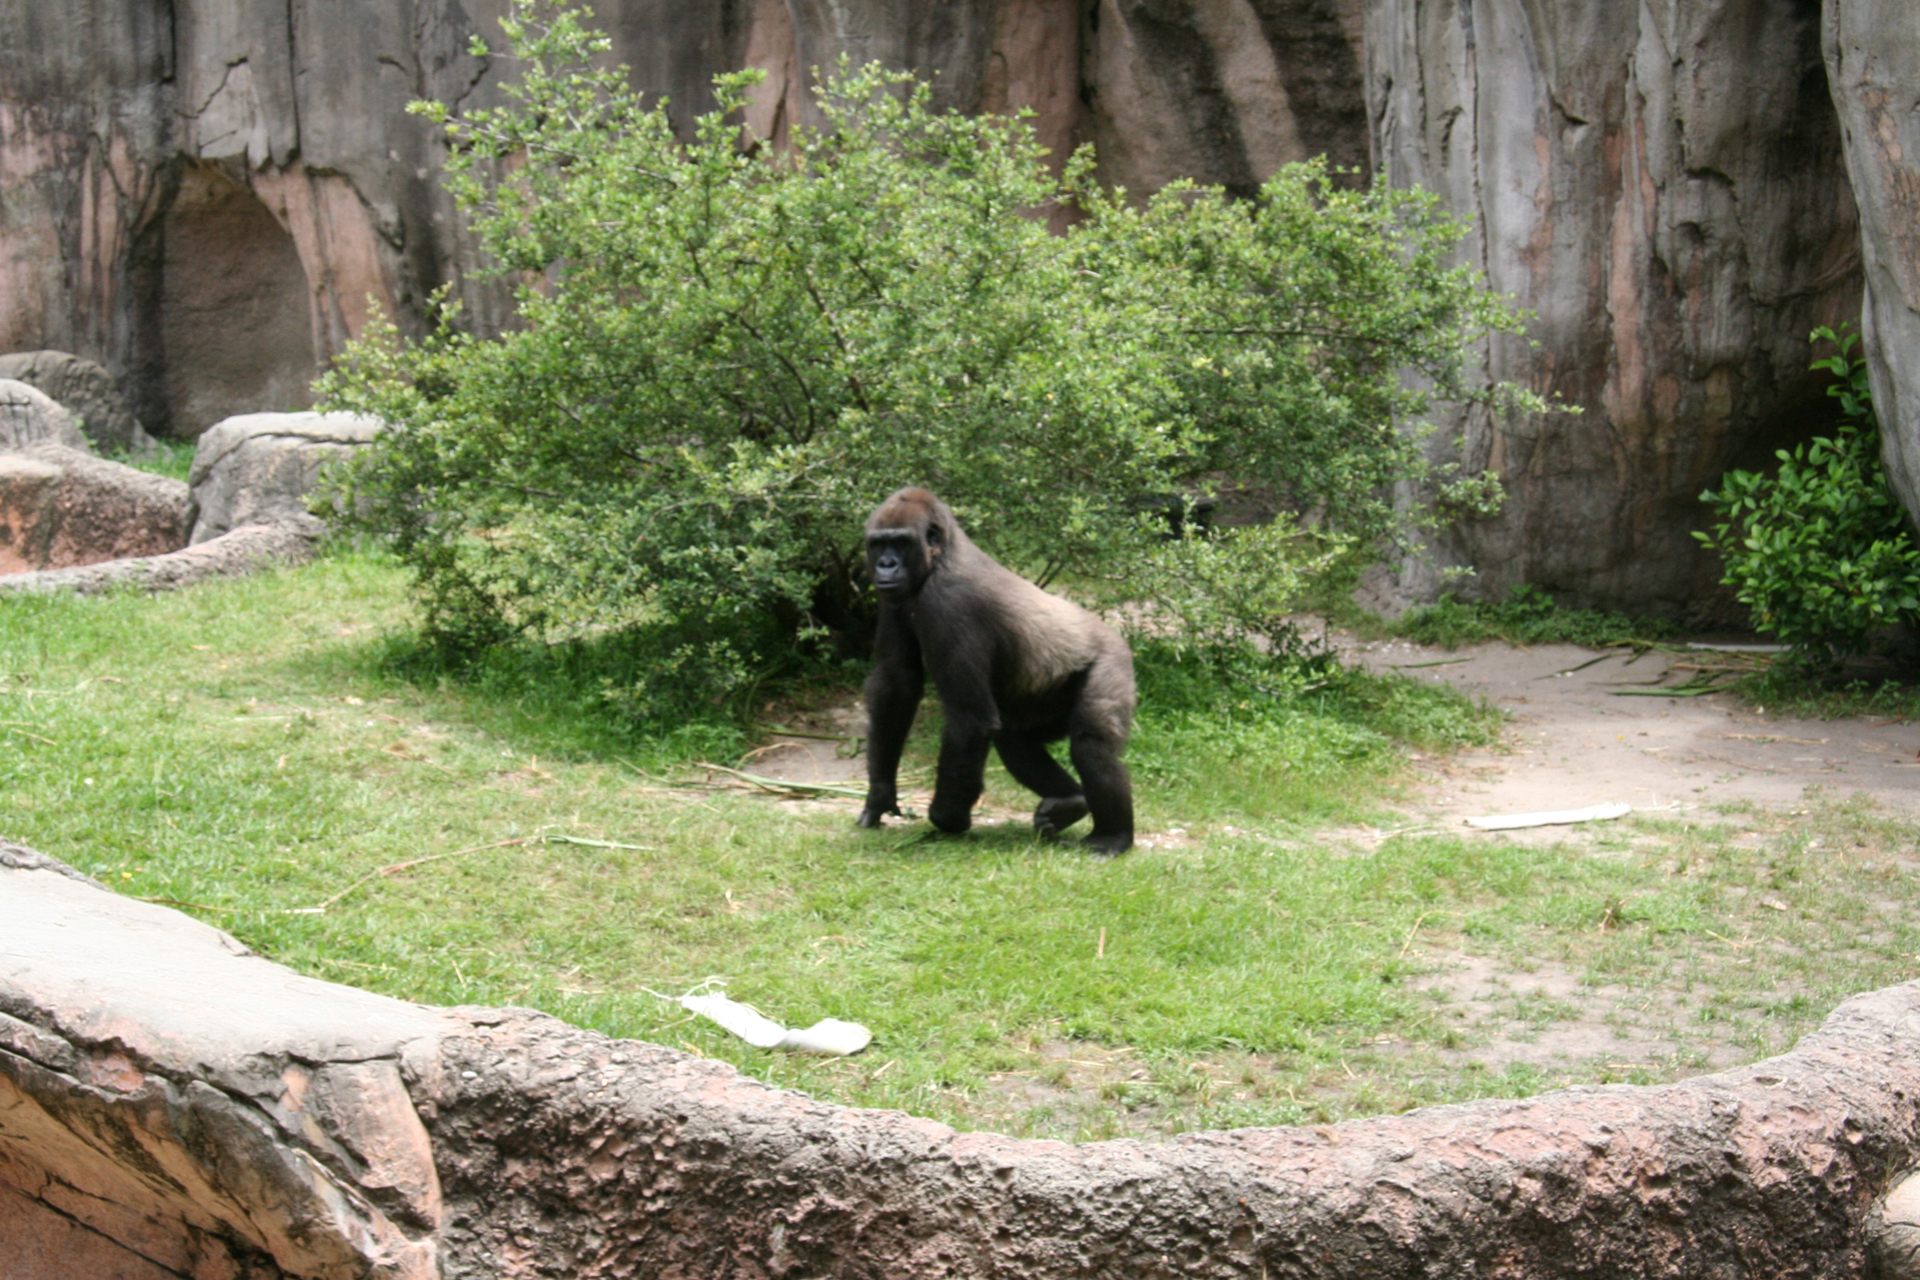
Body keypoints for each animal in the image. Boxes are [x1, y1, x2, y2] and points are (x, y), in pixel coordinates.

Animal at [856, 487, 1135, 855]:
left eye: (901, 543)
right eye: (878, 544)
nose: (886, 564)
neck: (941, 557)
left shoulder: (951, 604)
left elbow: (969, 720)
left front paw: (947, 817)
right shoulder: (892, 597)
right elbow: (897, 683)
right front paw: (879, 794)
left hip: (1113, 660)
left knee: (1093, 743)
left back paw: (1113, 836)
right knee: (1014, 739)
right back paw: (1071, 801)